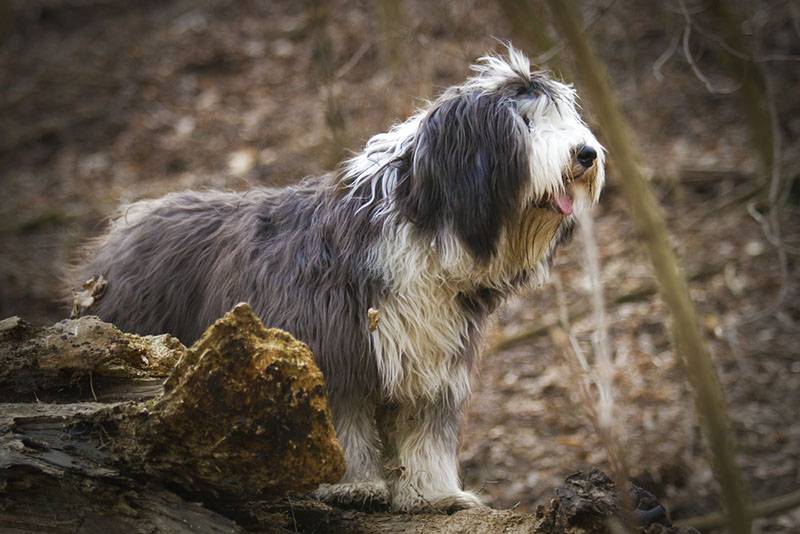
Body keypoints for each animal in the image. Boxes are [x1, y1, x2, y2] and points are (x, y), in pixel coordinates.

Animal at [72, 46, 608, 516]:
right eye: (524, 123)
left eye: (562, 116)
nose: (586, 153)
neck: (425, 225)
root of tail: (130, 220)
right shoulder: (329, 347)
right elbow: (340, 423)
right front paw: (352, 487)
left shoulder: (431, 359)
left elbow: (425, 430)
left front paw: (433, 494)